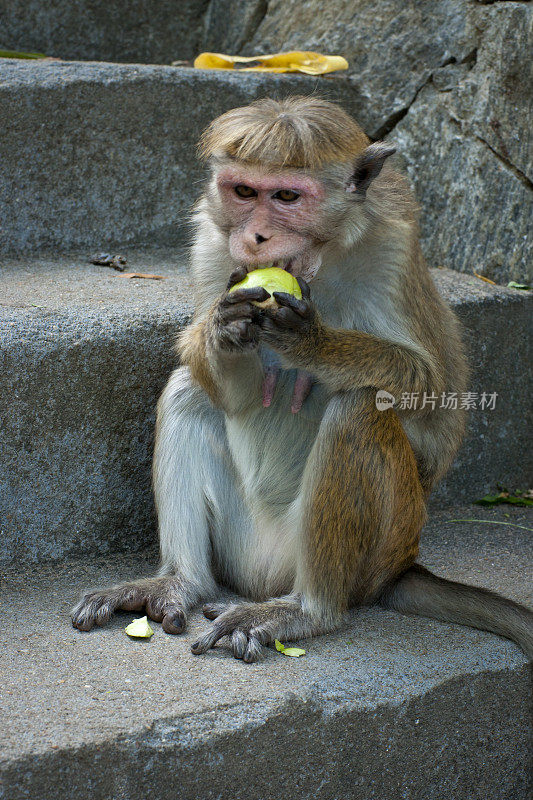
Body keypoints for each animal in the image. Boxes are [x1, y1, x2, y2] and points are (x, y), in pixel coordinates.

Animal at [71, 97, 532, 660]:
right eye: (244, 192)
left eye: (287, 196)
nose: (255, 237)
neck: (324, 258)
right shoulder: (211, 241)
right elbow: (226, 385)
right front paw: (223, 330)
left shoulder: (393, 251)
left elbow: (432, 394)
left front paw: (312, 343)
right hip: (243, 545)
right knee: (188, 392)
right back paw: (179, 581)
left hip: (375, 547)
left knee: (358, 409)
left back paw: (308, 610)